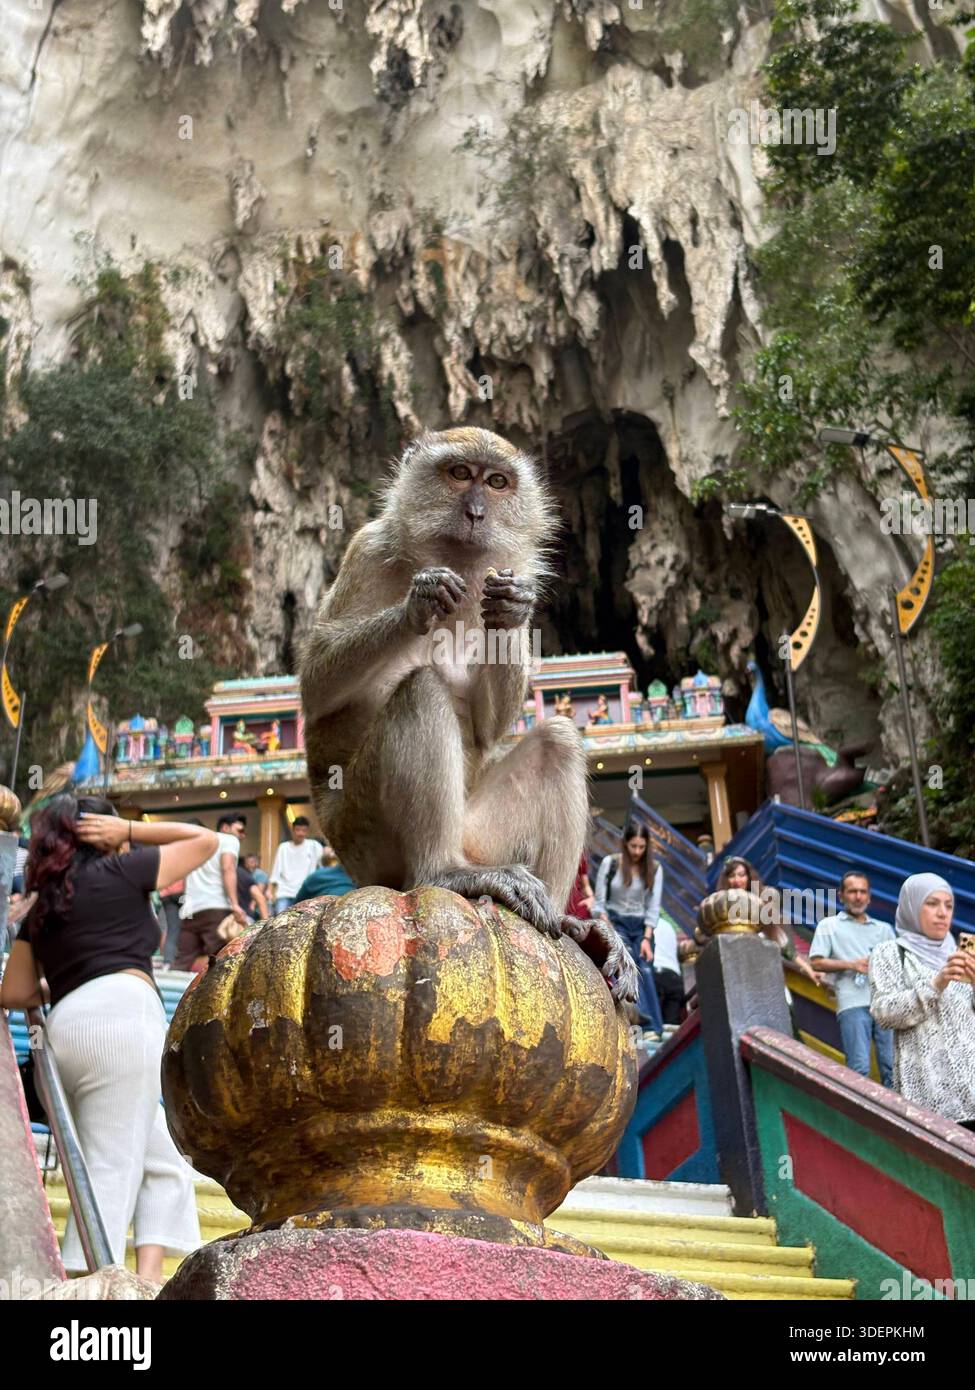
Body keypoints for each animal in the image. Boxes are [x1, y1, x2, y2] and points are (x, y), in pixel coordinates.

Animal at [300, 426, 638, 1004]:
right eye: (460, 474)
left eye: (497, 482)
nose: (477, 512)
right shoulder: (366, 549)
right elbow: (316, 686)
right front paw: (420, 603)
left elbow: (487, 725)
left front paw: (516, 609)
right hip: (368, 841)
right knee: (421, 692)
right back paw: (444, 873)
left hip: (481, 835)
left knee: (557, 740)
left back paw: (569, 924)